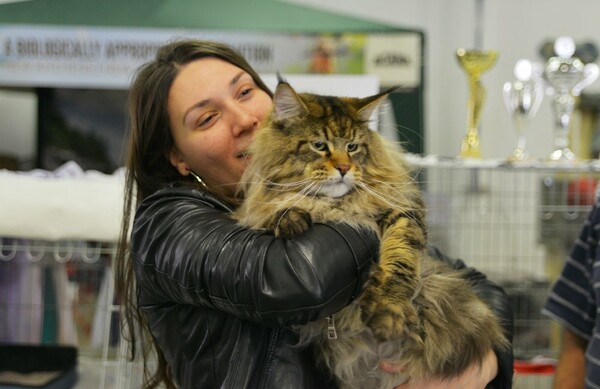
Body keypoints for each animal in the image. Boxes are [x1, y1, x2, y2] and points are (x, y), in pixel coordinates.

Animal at [232, 80, 508, 386]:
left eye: (352, 147)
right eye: (319, 146)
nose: (344, 168)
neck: (333, 205)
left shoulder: (403, 215)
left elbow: (399, 266)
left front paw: (388, 315)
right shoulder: (258, 204)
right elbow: (272, 209)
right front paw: (290, 218)